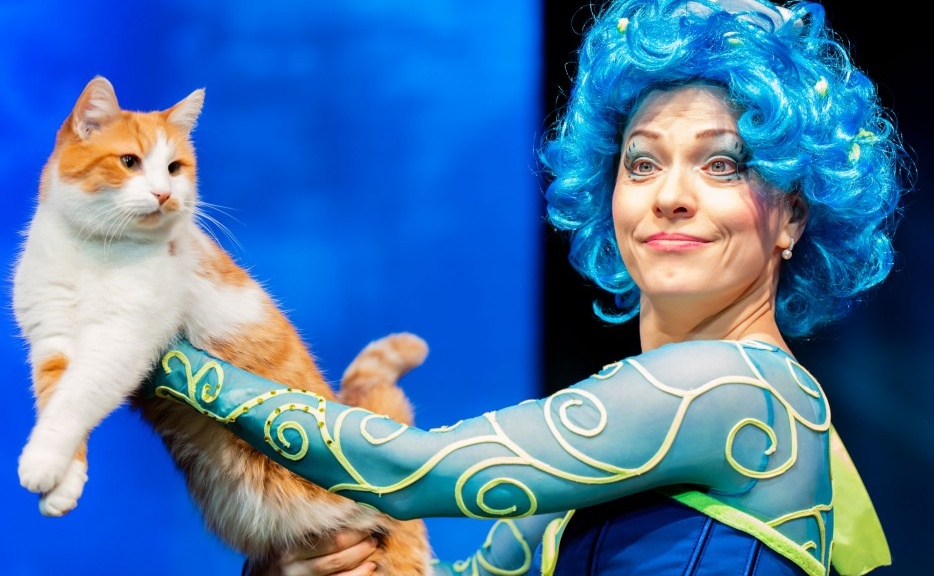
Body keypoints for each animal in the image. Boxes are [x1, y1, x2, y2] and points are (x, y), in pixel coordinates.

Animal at [13, 75, 432, 574]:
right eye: (130, 162)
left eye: (174, 168)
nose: (164, 193)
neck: (93, 248)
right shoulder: (52, 339)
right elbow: (55, 400)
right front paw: (62, 481)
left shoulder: (123, 337)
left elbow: (76, 398)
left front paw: (41, 463)